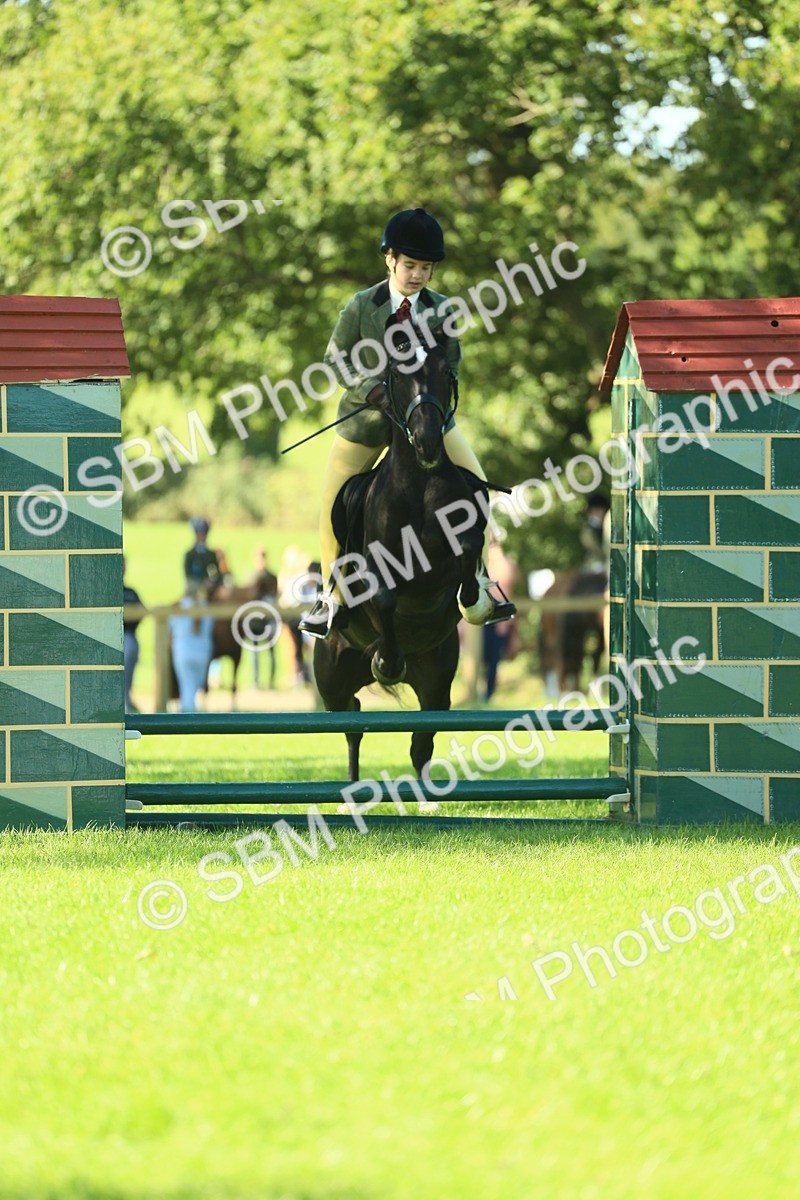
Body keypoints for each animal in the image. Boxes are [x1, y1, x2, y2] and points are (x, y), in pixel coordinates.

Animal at [313, 328, 488, 784]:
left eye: (445, 371)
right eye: (396, 375)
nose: (427, 442)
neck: (420, 484)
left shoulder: (459, 547)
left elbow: (468, 558)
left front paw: (476, 600)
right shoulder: (377, 569)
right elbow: (386, 597)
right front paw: (387, 662)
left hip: (437, 680)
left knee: (420, 741)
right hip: (331, 679)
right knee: (351, 722)